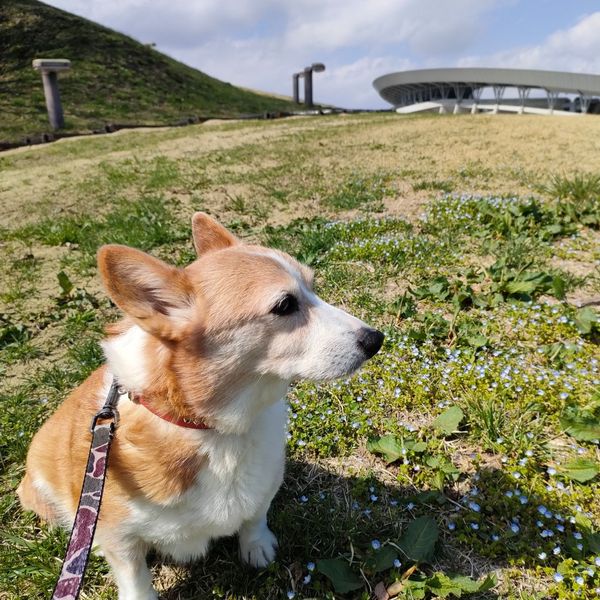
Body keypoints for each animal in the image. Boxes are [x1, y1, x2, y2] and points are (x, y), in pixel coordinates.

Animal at [18, 213, 386, 596]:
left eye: (313, 287)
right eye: (285, 305)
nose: (376, 339)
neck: (212, 428)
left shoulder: (264, 481)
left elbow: (255, 516)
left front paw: (257, 547)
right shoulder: (117, 536)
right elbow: (135, 579)